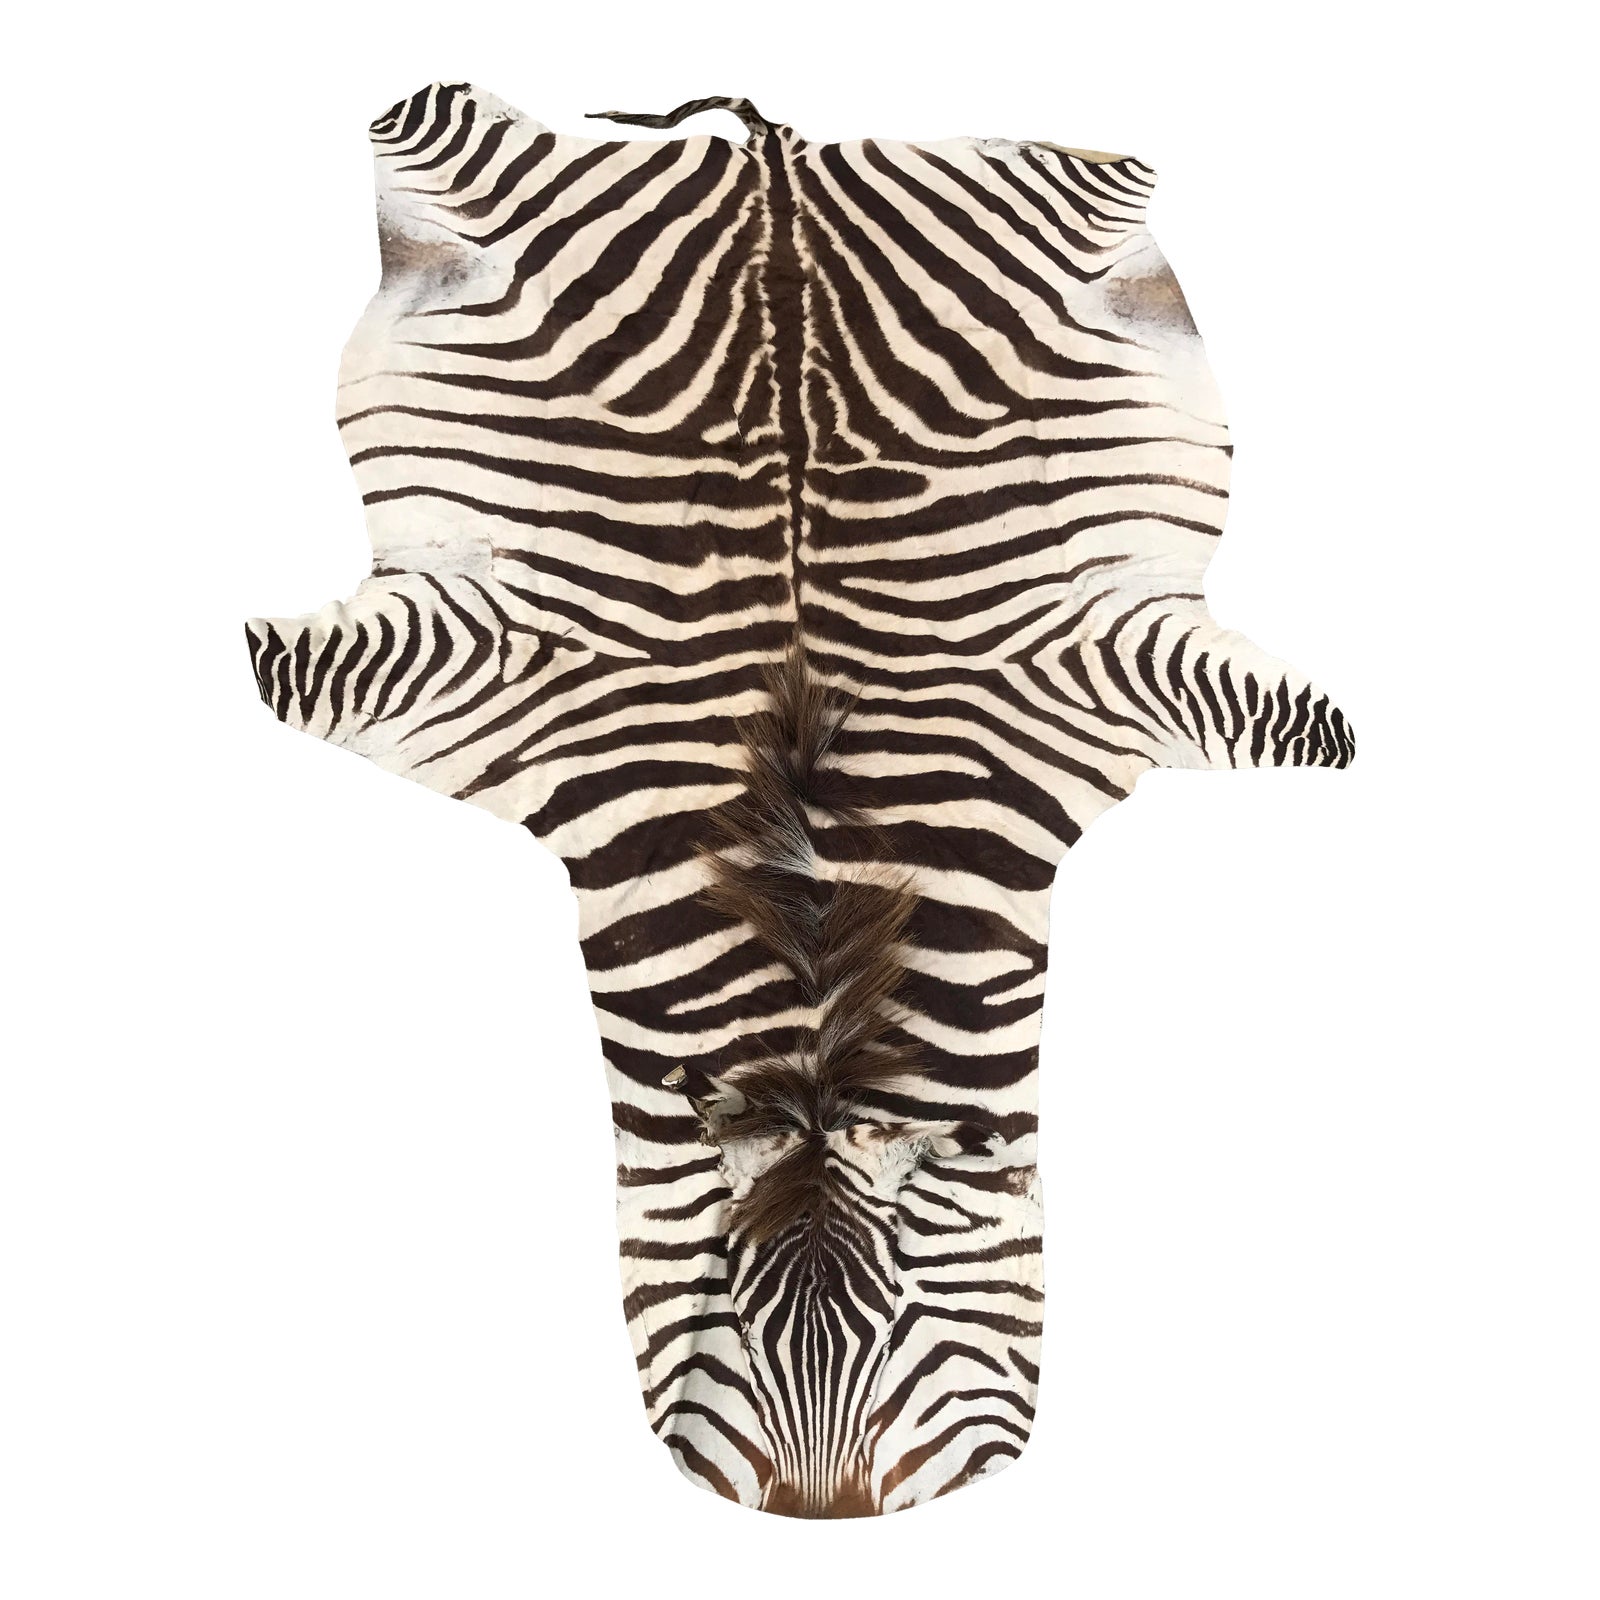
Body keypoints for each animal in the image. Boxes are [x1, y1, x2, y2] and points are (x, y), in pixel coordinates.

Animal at [246, 82, 1355, 1518]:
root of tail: (773, 165)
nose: (824, 1512)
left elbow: (1288, 716)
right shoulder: (484, 653)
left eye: (905, 1332)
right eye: (722, 1324)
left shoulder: (1102, 664)